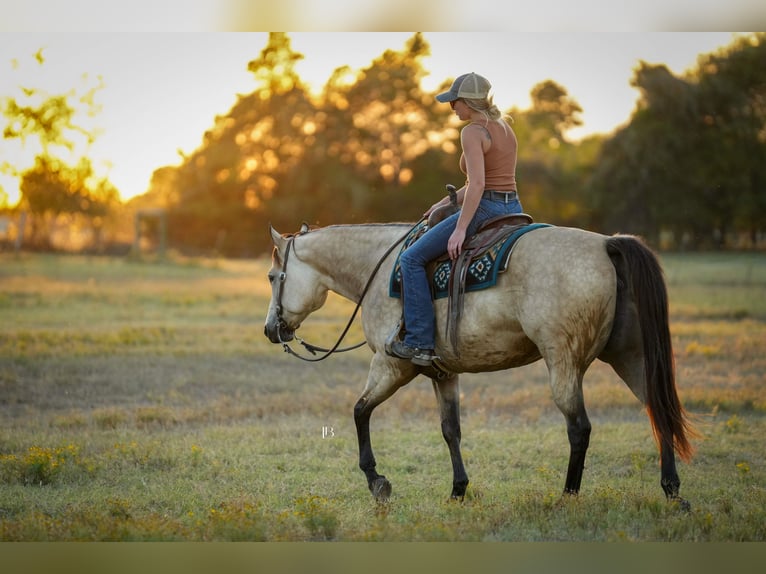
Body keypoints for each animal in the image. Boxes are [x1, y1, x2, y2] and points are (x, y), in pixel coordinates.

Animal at [263, 221, 696, 508]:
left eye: (271, 276)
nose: (270, 329)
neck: (381, 269)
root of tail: (607, 244)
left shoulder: (391, 366)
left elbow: (359, 411)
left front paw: (377, 482)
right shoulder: (443, 373)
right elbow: (450, 431)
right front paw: (458, 489)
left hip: (564, 362)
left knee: (580, 428)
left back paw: (568, 497)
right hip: (631, 356)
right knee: (657, 410)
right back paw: (672, 491)